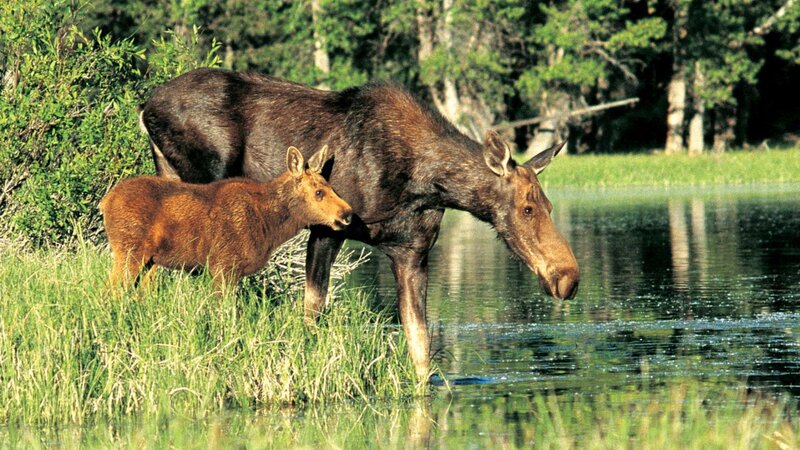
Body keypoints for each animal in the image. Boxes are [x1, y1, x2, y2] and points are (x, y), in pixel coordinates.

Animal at [99, 146, 350, 290]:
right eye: (319, 192)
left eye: (332, 187)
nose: (347, 214)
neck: (268, 226)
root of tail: (105, 202)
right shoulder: (223, 265)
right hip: (129, 252)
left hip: (149, 261)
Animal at [139, 68, 580, 382]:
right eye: (527, 208)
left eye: (549, 205)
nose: (568, 277)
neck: (427, 186)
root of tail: (145, 107)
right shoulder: (327, 228)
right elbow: (313, 310)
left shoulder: (412, 253)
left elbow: (420, 349)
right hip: (207, 179)